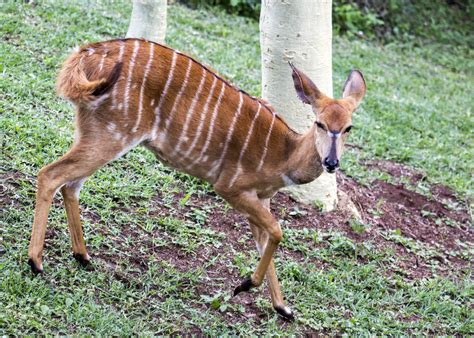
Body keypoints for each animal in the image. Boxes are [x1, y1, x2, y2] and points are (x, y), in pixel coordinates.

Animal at [28, 38, 366, 320]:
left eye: (348, 127)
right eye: (320, 123)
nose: (331, 162)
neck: (285, 155)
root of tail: (89, 53)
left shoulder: (261, 199)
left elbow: (267, 240)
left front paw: (283, 308)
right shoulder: (231, 188)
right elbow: (277, 231)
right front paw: (244, 285)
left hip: (95, 133)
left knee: (71, 185)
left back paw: (83, 257)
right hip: (112, 136)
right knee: (50, 175)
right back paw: (36, 262)